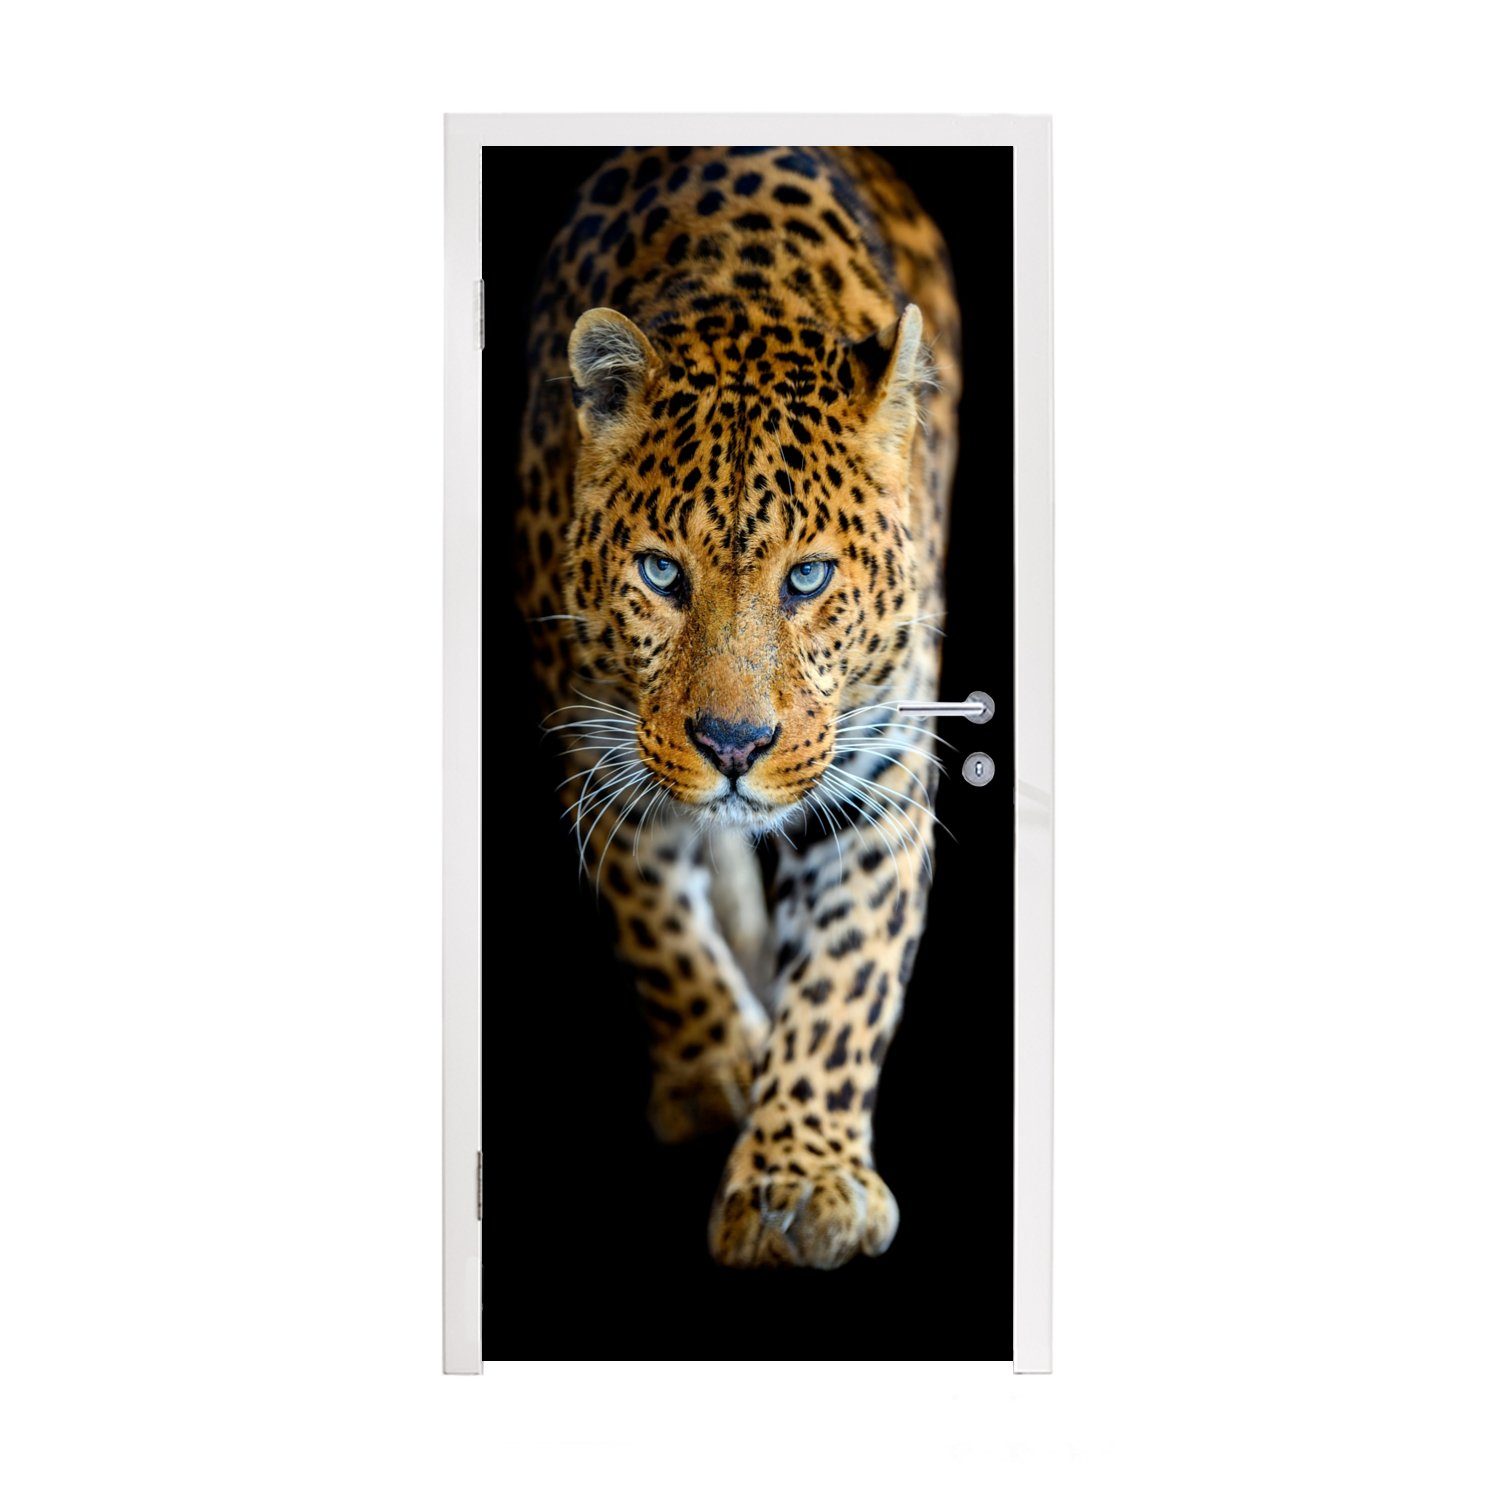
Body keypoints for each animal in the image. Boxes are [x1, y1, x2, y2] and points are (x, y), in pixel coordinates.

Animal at [514, 146, 961, 1269]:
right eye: (662, 574)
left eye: (807, 579)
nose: (732, 744)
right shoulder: (593, 740)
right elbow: (655, 920)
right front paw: (716, 1065)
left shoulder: (884, 773)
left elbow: (847, 976)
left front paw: (801, 1177)